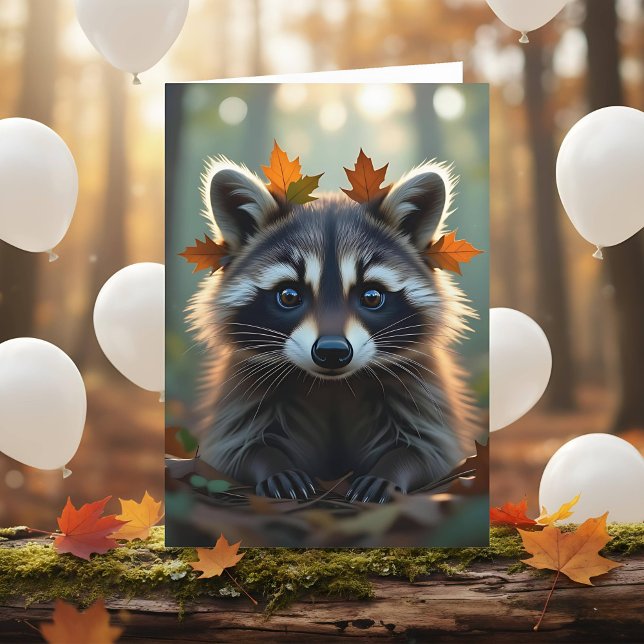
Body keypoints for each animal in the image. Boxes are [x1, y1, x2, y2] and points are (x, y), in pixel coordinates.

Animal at [188, 157, 479, 503]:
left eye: (371, 296)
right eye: (289, 295)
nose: (331, 352)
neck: (333, 385)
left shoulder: (420, 387)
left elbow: (430, 449)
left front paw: (390, 470)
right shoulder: (245, 390)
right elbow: (236, 447)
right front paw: (273, 465)